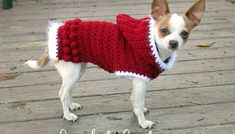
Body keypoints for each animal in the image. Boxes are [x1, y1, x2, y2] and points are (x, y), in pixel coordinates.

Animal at [25, 0, 205, 130]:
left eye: (184, 34)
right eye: (164, 31)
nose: (174, 43)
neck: (152, 43)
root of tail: (55, 35)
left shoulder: (138, 81)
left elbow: (135, 101)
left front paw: (138, 113)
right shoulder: (140, 82)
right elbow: (138, 102)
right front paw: (143, 122)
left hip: (78, 70)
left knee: (67, 91)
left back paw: (71, 106)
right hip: (73, 73)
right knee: (62, 93)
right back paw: (67, 115)